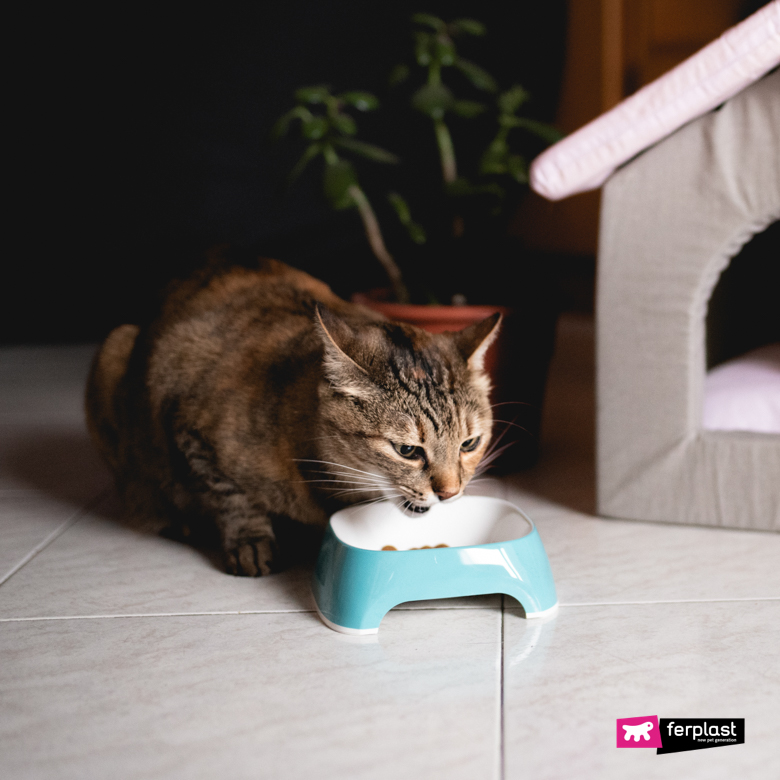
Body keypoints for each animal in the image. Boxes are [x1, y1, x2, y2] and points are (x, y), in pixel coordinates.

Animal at [87, 254, 500, 572]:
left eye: (469, 443)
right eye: (408, 451)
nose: (450, 493)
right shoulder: (190, 428)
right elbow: (230, 495)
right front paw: (250, 540)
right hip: (115, 349)